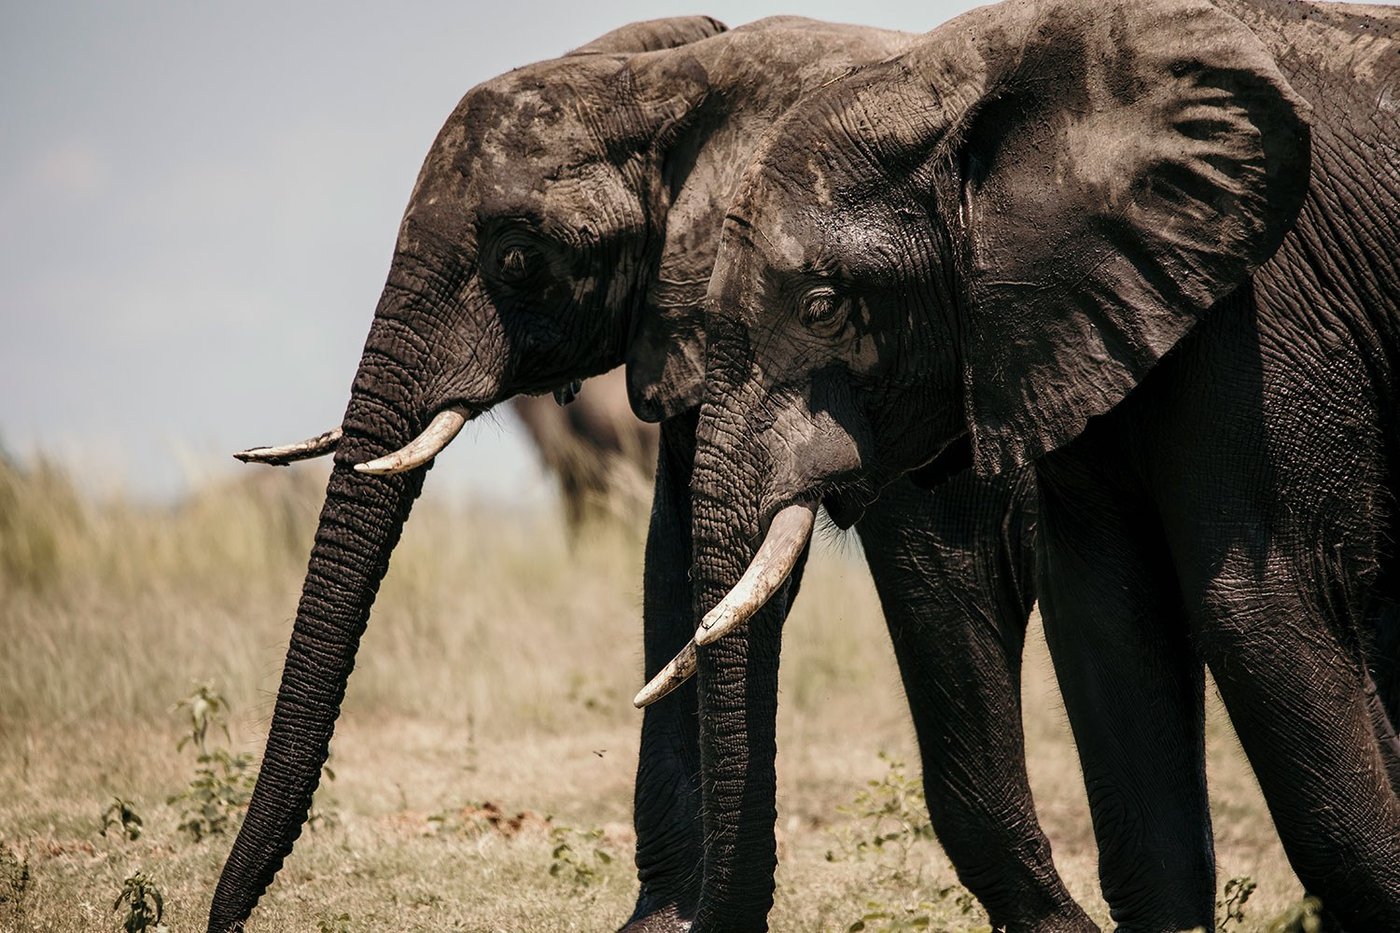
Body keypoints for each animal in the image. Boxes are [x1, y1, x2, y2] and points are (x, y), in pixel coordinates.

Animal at [637, 0, 1400, 928]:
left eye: (822, 307)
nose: (682, 917)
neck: (964, 79)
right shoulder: (1077, 322)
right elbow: (1107, 617)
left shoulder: (1265, 313)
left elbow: (1263, 603)